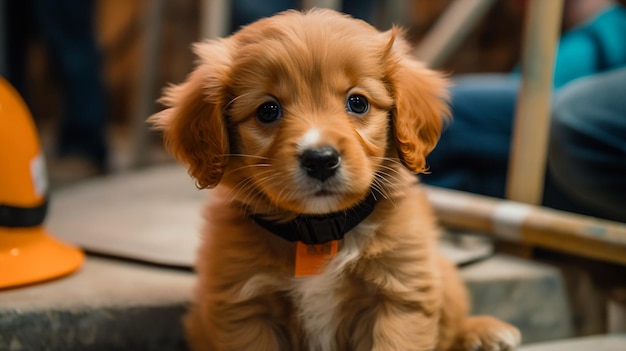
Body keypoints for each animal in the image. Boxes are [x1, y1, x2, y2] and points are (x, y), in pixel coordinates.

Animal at [149, 8, 520, 351]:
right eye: (268, 110)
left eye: (357, 102)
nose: (321, 160)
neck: (318, 233)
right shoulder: (245, 307)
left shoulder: (400, 295)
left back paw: (482, 332)